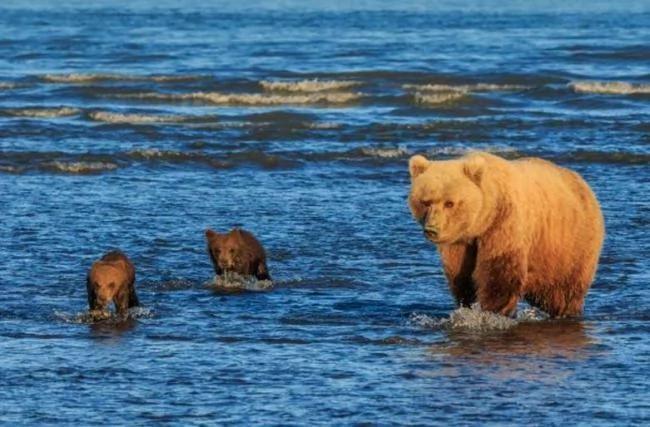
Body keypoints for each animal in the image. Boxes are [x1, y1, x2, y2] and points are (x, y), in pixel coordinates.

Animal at [408, 151, 604, 318]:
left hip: (571, 243)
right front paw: (468, 304)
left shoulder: (504, 225)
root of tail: (582, 183)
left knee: (565, 290)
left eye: (449, 203)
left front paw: (491, 311)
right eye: (425, 202)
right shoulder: (460, 243)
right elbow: (461, 277)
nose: (432, 229)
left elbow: (500, 273)